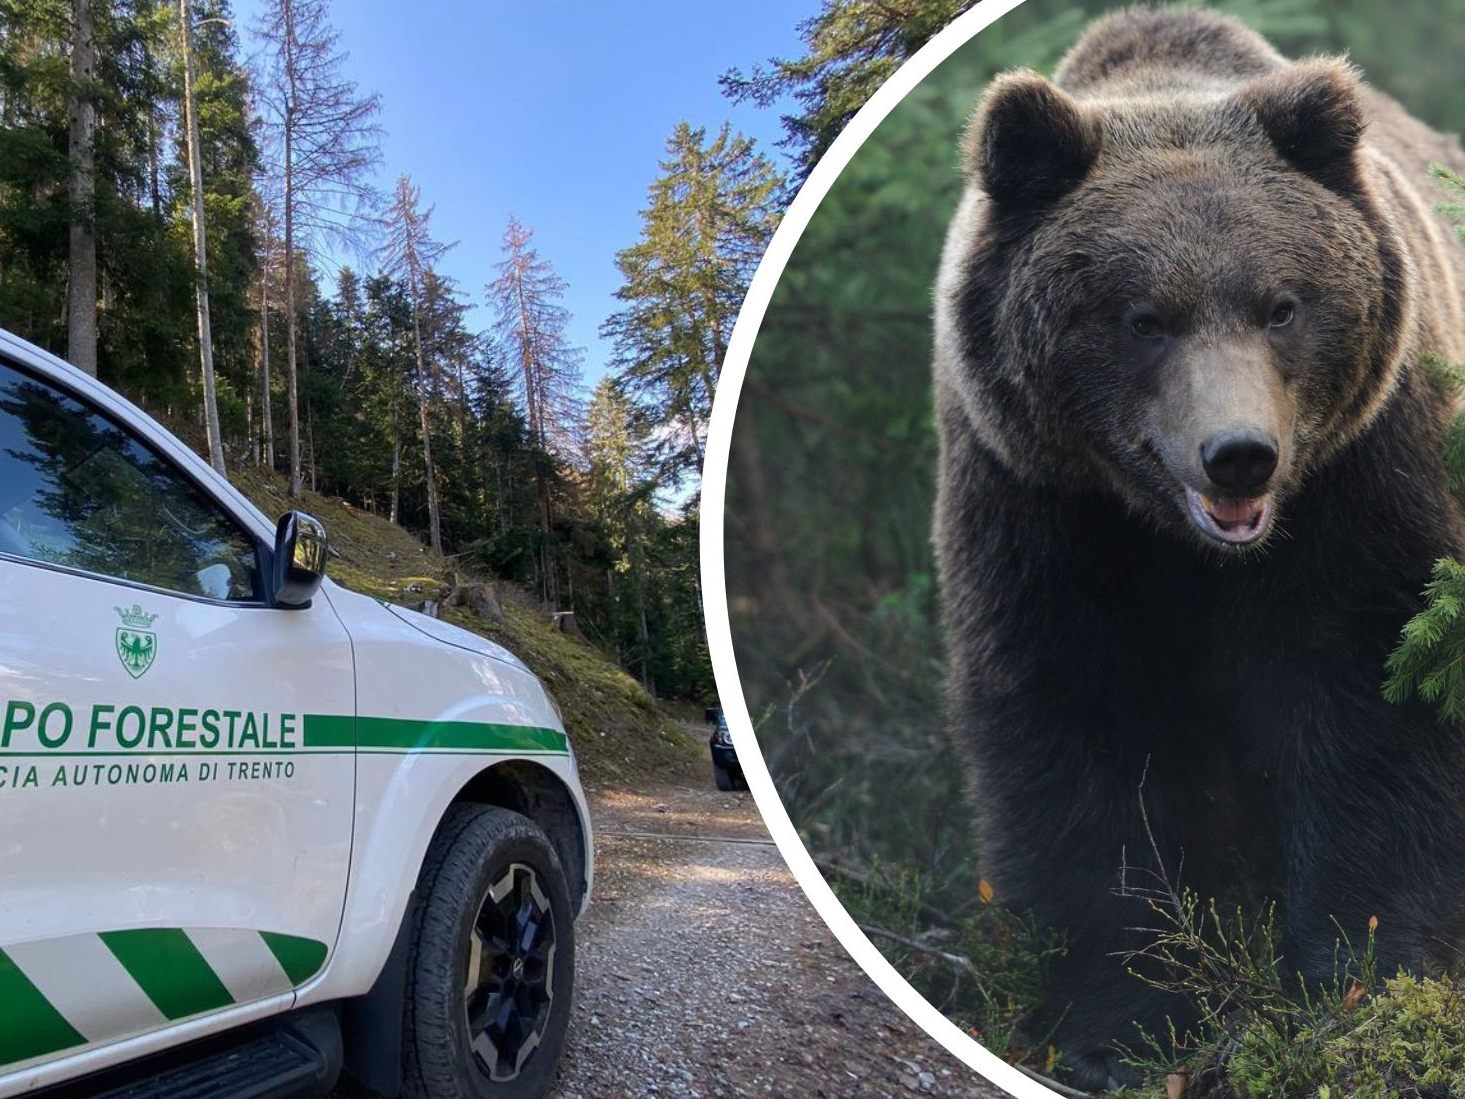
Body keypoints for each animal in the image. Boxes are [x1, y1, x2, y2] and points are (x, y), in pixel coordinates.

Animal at [932, 5, 1465, 1088]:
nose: (1239, 456)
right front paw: (1122, 1021)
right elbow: (1083, 729)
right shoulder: (1039, 507)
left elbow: (1374, 697)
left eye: (1282, 303)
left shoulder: (1364, 473)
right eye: (1142, 317)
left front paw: (1364, 977)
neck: (1187, 547)